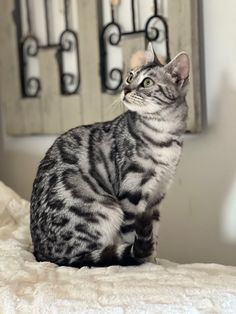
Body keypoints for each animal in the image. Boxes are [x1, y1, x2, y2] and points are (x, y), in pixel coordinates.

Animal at [30, 43, 190, 268]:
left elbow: (153, 236)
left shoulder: (158, 195)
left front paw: (154, 261)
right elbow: (133, 237)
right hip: (105, 210)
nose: (125, 89)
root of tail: (42, 254)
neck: (164, 136)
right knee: (88, 258)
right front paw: (144, 263)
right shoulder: (132, 193)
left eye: (147, 82)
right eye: (130, 76)